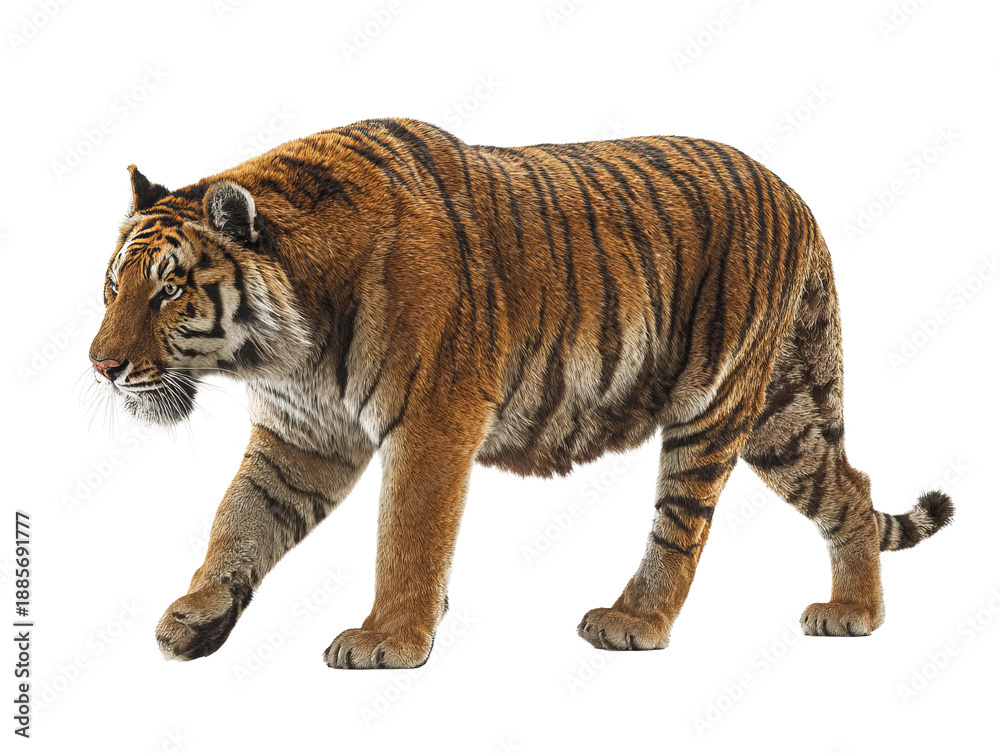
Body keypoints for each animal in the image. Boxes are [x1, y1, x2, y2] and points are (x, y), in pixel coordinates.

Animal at [88, 117, 954, 669]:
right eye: (113, 286)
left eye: (169, 291)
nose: (100, 365)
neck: (285, 347)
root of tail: (794, 194)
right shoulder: (303, 437)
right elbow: (239, 520)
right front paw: (196, 614)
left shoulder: (432, 420)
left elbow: (408, 536)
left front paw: (389, 638)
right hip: (785, 415)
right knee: (849, 487)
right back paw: (854, 615)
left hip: (715, 403)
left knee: (682, 528)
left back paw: (633, 620)